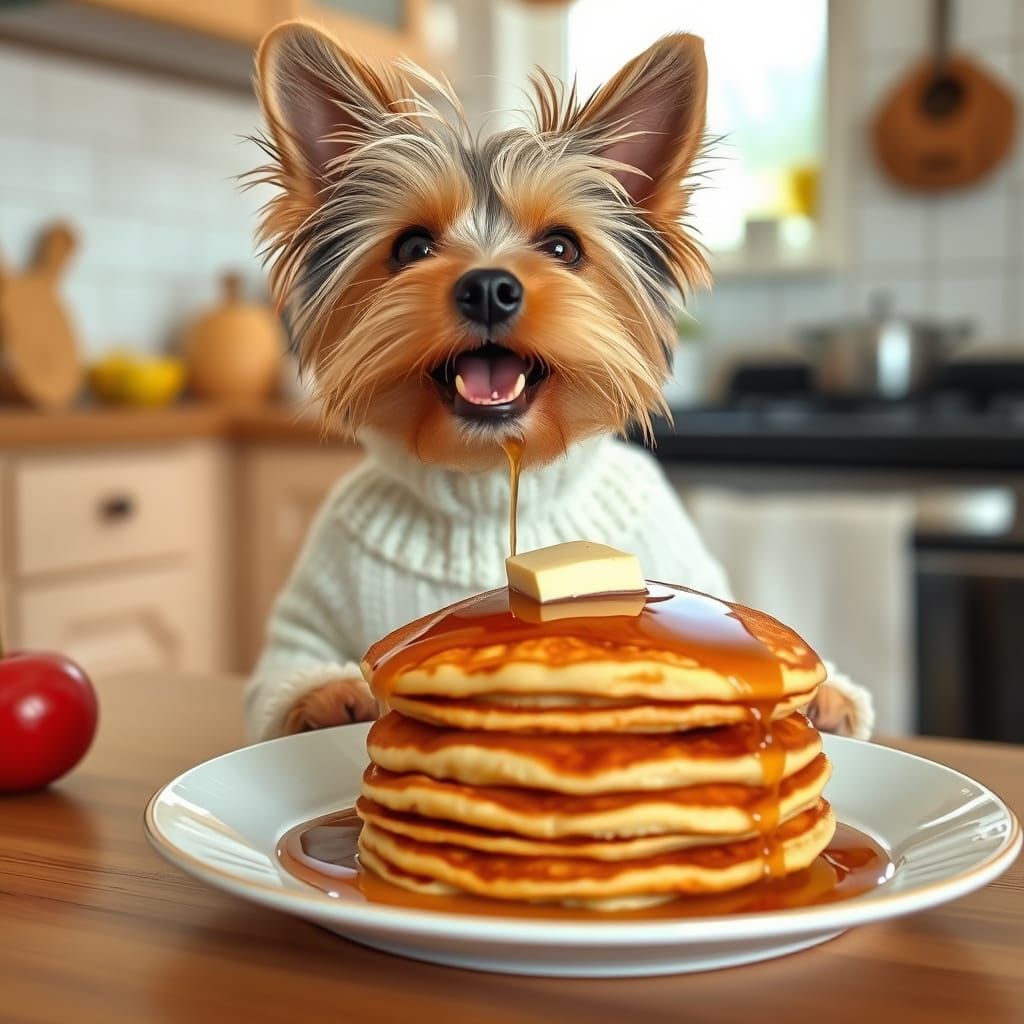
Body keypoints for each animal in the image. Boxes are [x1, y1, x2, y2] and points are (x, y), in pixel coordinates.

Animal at [241, 19, 872, 741]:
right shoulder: (310, 609)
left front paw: (829, 699)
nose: (488, 287)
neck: (490, 481)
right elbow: (282, 671)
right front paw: (326, 696)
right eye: (411, 248)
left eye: (563, 247)